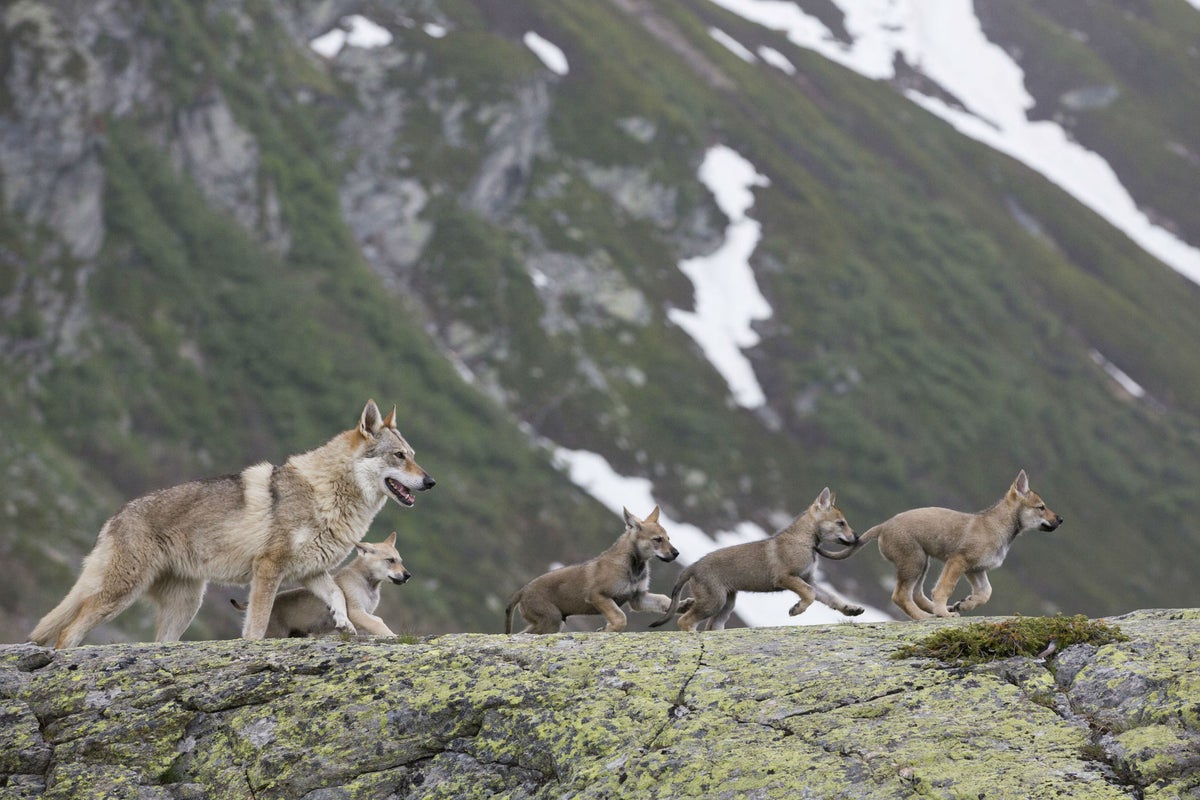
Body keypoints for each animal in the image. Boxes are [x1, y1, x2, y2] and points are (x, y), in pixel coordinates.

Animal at [231, 532, 411, 637]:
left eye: (400, 561)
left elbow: (377, 620)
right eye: (390, 560)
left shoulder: (365, 613)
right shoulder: (356, 612)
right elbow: (378, 623)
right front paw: (393, 636)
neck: (366, 582)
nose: (408, 576)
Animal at [505, 506, 681, 634]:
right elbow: (620, 618)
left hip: (551, 622)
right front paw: (606, 629)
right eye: (658, 539)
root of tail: (521, 592)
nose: (676, 553)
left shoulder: (637, 598)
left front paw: (684, 605)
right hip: (551, 620)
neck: (634, 567)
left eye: (669, 539)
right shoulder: (597, 595)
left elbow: (665, 600)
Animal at [650, 487, 863, 632]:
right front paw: (796, 609)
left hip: (727, 604)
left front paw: (851, 609)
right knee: (684, 620)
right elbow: (809, 595)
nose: (857, 537)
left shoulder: (808, 579)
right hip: (714, 601)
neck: (803, 539)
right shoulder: (786, 577)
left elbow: (831, 598)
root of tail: (692, 567)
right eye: (841, 523)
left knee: (711, 626)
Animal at [846, 469, 1063, 619]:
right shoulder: (958, 561)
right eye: (1041, 507)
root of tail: (882, 526)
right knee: (901, 596)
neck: (997, 526)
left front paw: (964, 604)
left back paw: (933, 611)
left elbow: (986, 593)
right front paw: (946, 613)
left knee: (916, 594)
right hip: (914, 562)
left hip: (922, 563)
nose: (1061, 519)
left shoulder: (976, 570)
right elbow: (944, 589)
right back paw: (926, 616)